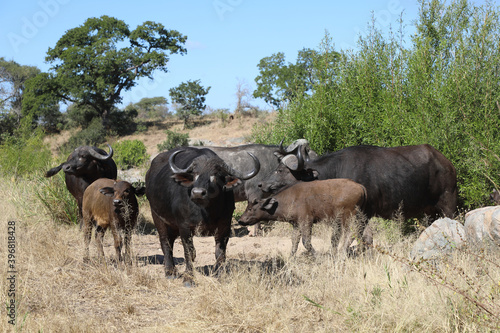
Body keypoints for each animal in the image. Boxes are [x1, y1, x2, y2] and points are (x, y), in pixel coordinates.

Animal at [145, 147, 260, 284]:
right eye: (195, 174)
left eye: (215, 175)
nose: (198, 193)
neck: (206, 211)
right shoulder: (184, 227)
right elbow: (189, 252)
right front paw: (189, 278)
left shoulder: (224, 226)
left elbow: (220, 252)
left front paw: (220, 274)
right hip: (157, 216)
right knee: (165, 242)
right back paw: (170, 272)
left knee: (170, 241)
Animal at [238, 179, 368, 254]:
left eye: (250, 209)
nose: (240, 220)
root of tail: (360, 186)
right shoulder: (296, 225)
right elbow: (294, 242)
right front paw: (291, 257)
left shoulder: (306, 222)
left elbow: (306, 242)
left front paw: (317, 255)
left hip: (347, 218)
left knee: (350, 234)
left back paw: (341, 253)